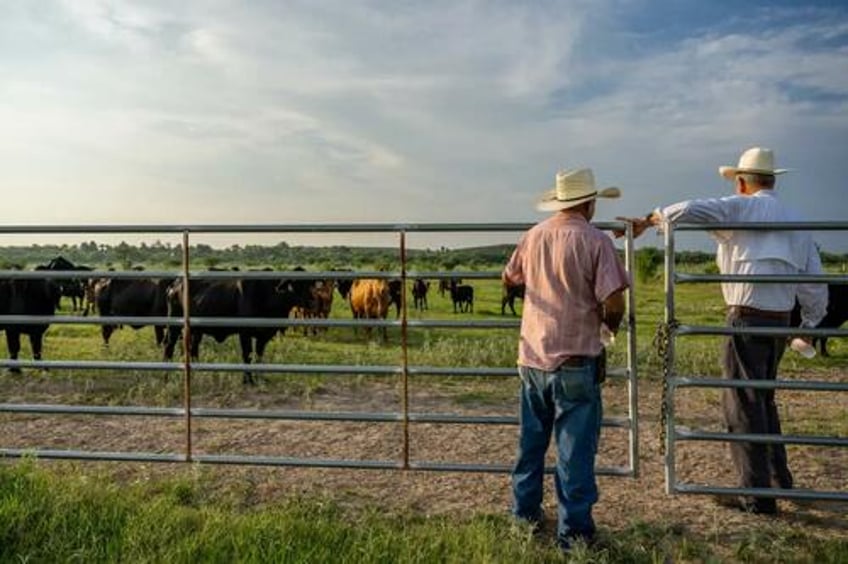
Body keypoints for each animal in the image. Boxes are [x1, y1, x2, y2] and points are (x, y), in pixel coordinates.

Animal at [162, 272, 312, 384]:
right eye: (294, 285)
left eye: (307, 285)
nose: (310, 301)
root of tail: (175, 284)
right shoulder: (244, 333)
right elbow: (247, 356)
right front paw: (248, 380)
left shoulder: (263, 337)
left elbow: (259, 357)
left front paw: (260, 379)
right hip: (174, 326)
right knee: (169, 346)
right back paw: (166, 375)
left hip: (196, 331)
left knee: (193, 349)